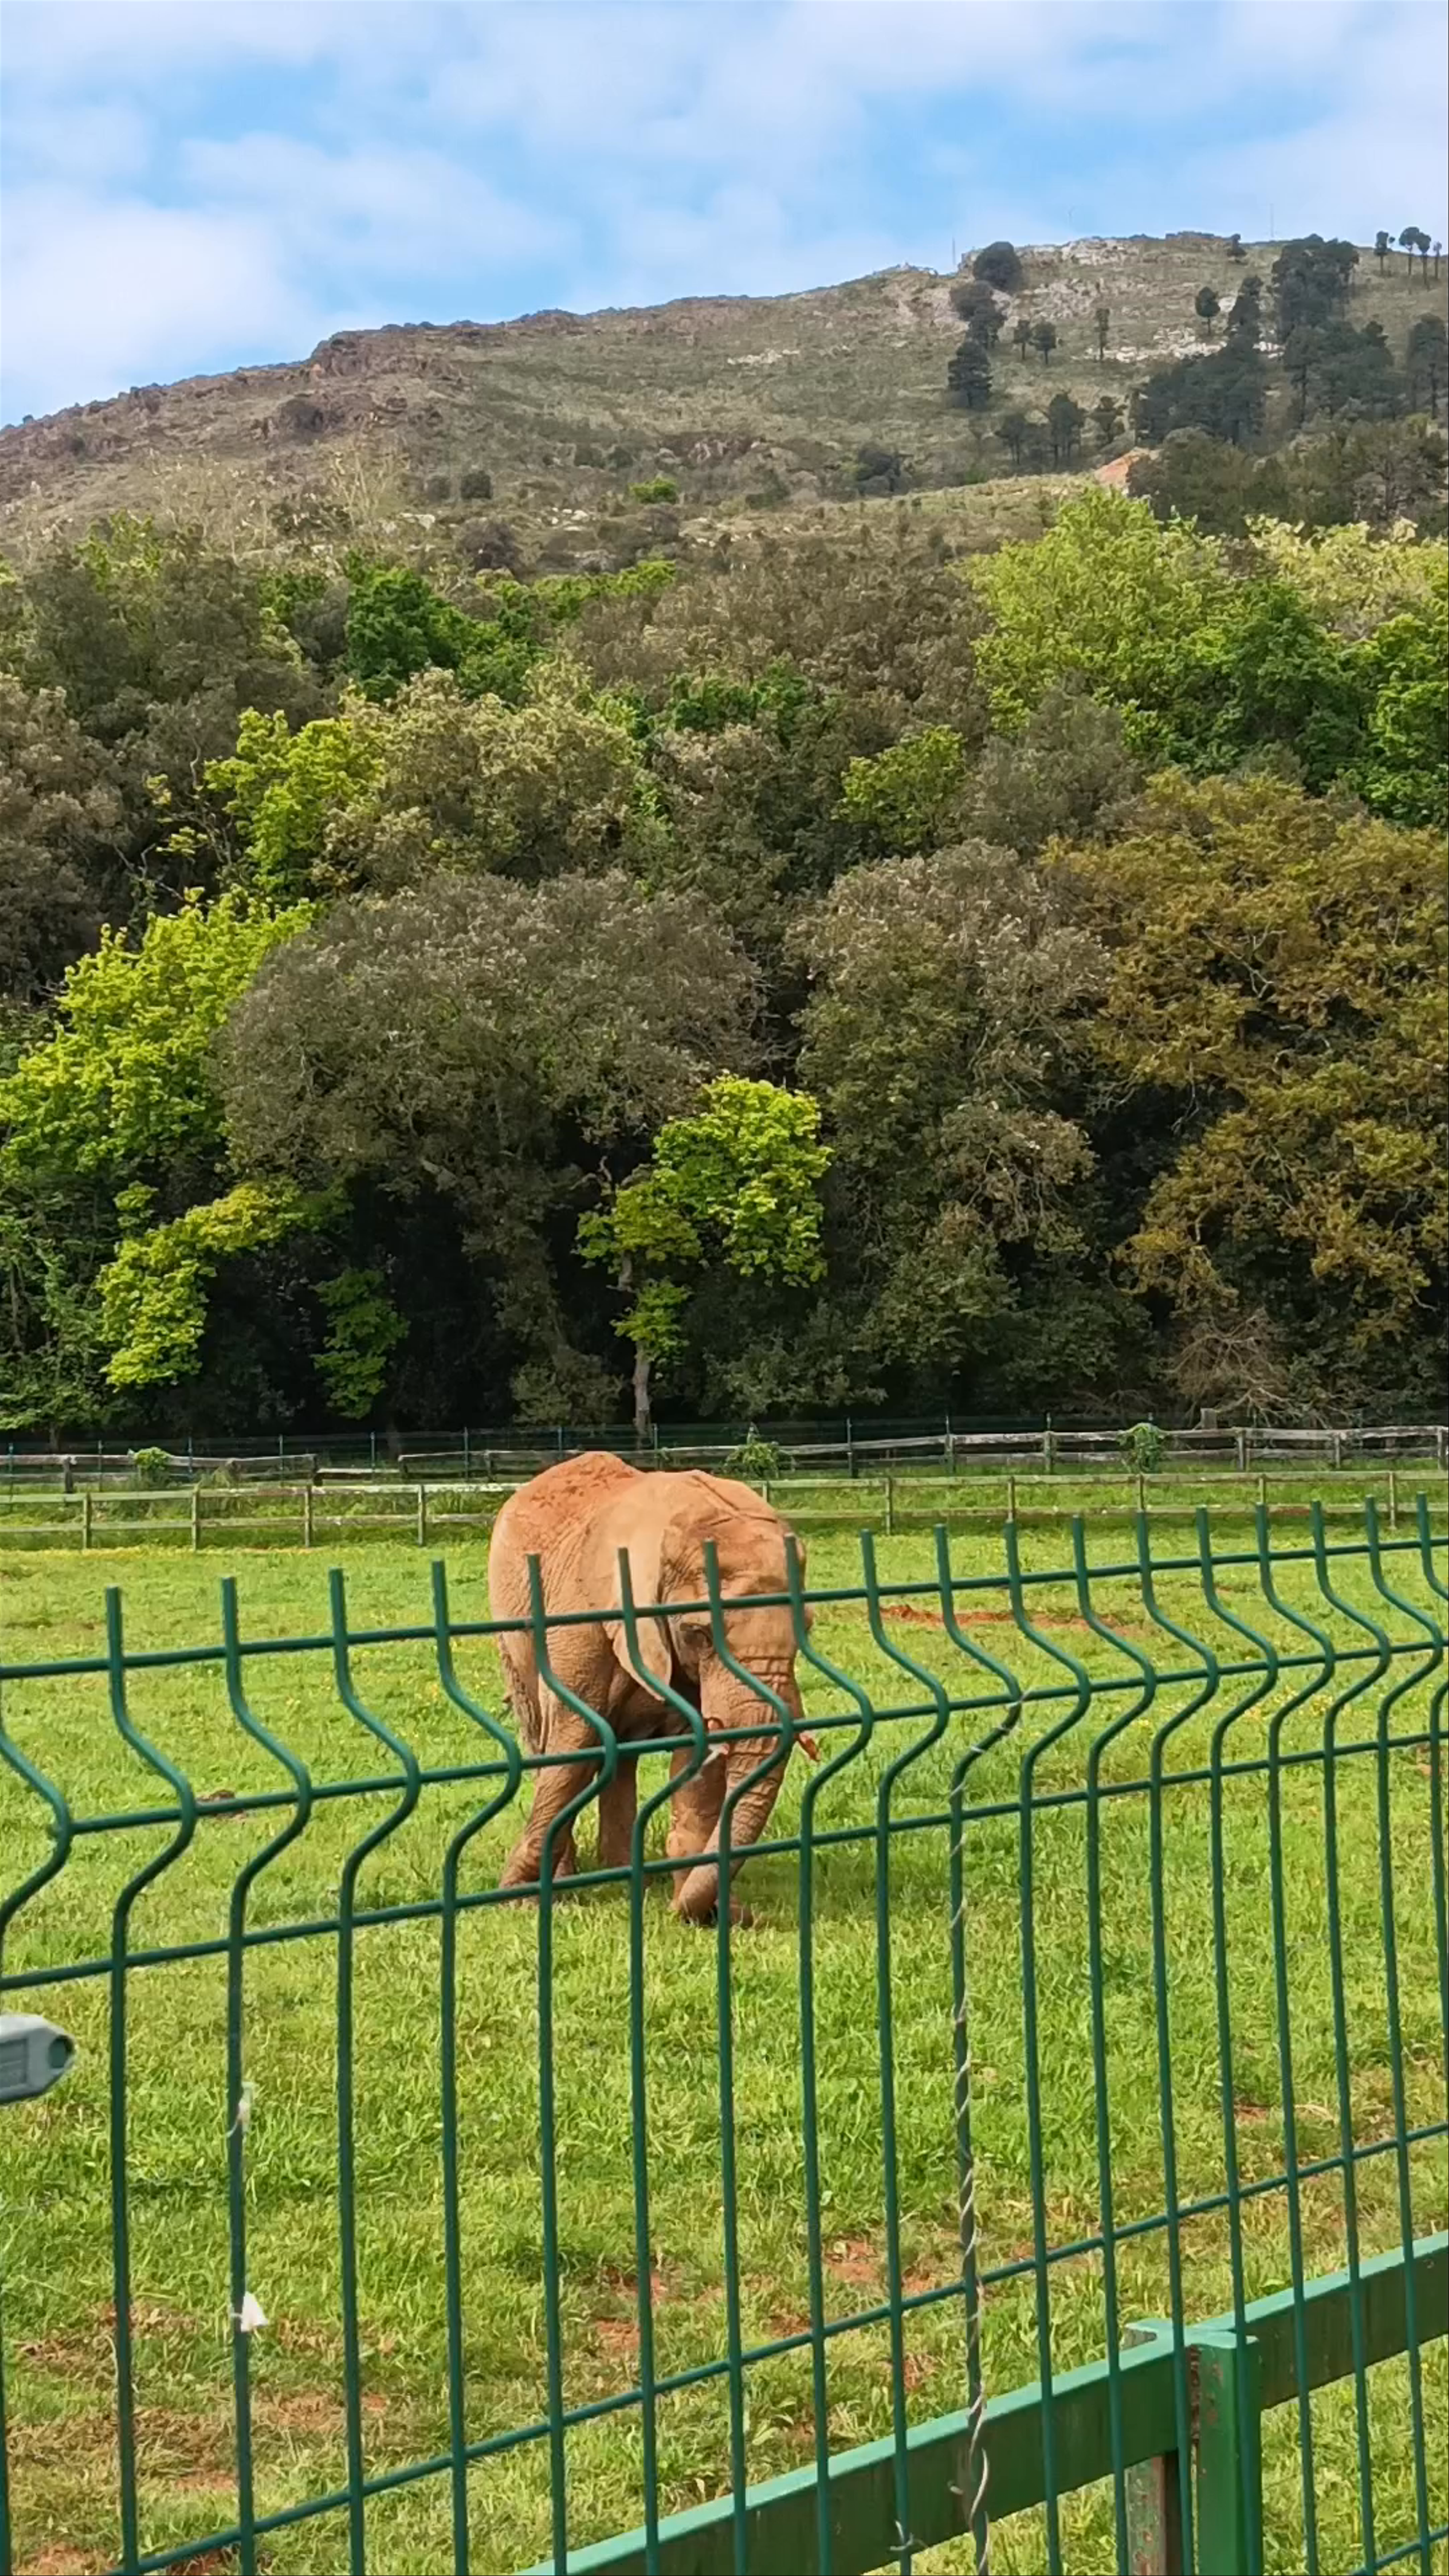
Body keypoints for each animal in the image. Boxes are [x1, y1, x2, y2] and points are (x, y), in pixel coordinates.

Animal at [487, 1451, 811, 1921]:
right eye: (700, 1634)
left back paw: (622, 1871)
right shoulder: (584, 1619)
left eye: (808, 1628)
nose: (744, 1915)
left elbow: (697, 1758)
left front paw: (706, 1911)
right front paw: (519, 1899)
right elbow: (574, 1744)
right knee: (546, 1736)